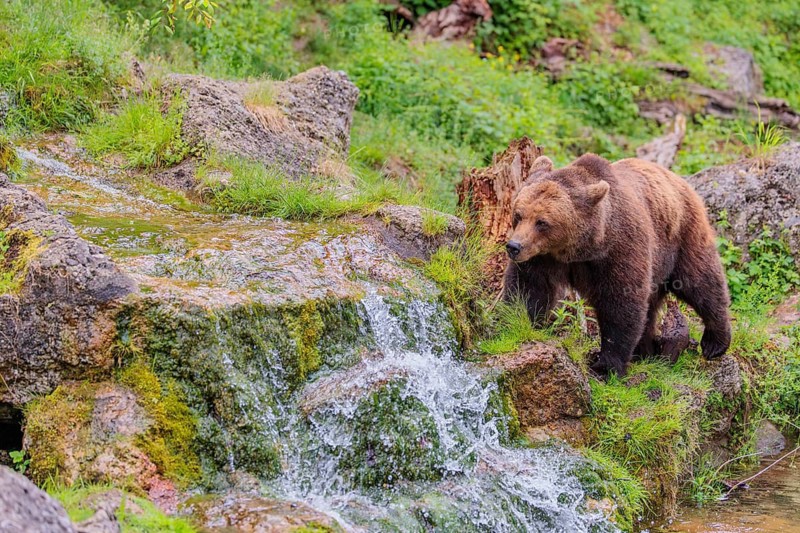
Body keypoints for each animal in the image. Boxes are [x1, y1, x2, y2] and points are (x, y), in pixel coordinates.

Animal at [504, 153, 731, 377]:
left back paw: (715, 343)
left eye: (542, 222)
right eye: (518, 214)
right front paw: (516, 323)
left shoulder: (620, 250)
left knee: (701, 281)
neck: (581, 248)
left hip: (681, 237)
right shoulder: (542, 258)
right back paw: (644, 350)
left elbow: (621, 304)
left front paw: (605, 367)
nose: (514, 246)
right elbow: (529, 287)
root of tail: (678, 179)